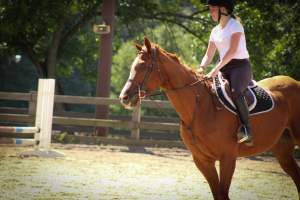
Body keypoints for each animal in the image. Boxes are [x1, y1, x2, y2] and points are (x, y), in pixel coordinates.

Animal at [119, 38, 300, 200]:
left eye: (143, 67)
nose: (124, 97)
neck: (200, 107)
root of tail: (294, 81)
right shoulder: (203, 160)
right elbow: (217, 194)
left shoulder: (228, 158)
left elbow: (223, 194)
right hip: (282, 149)